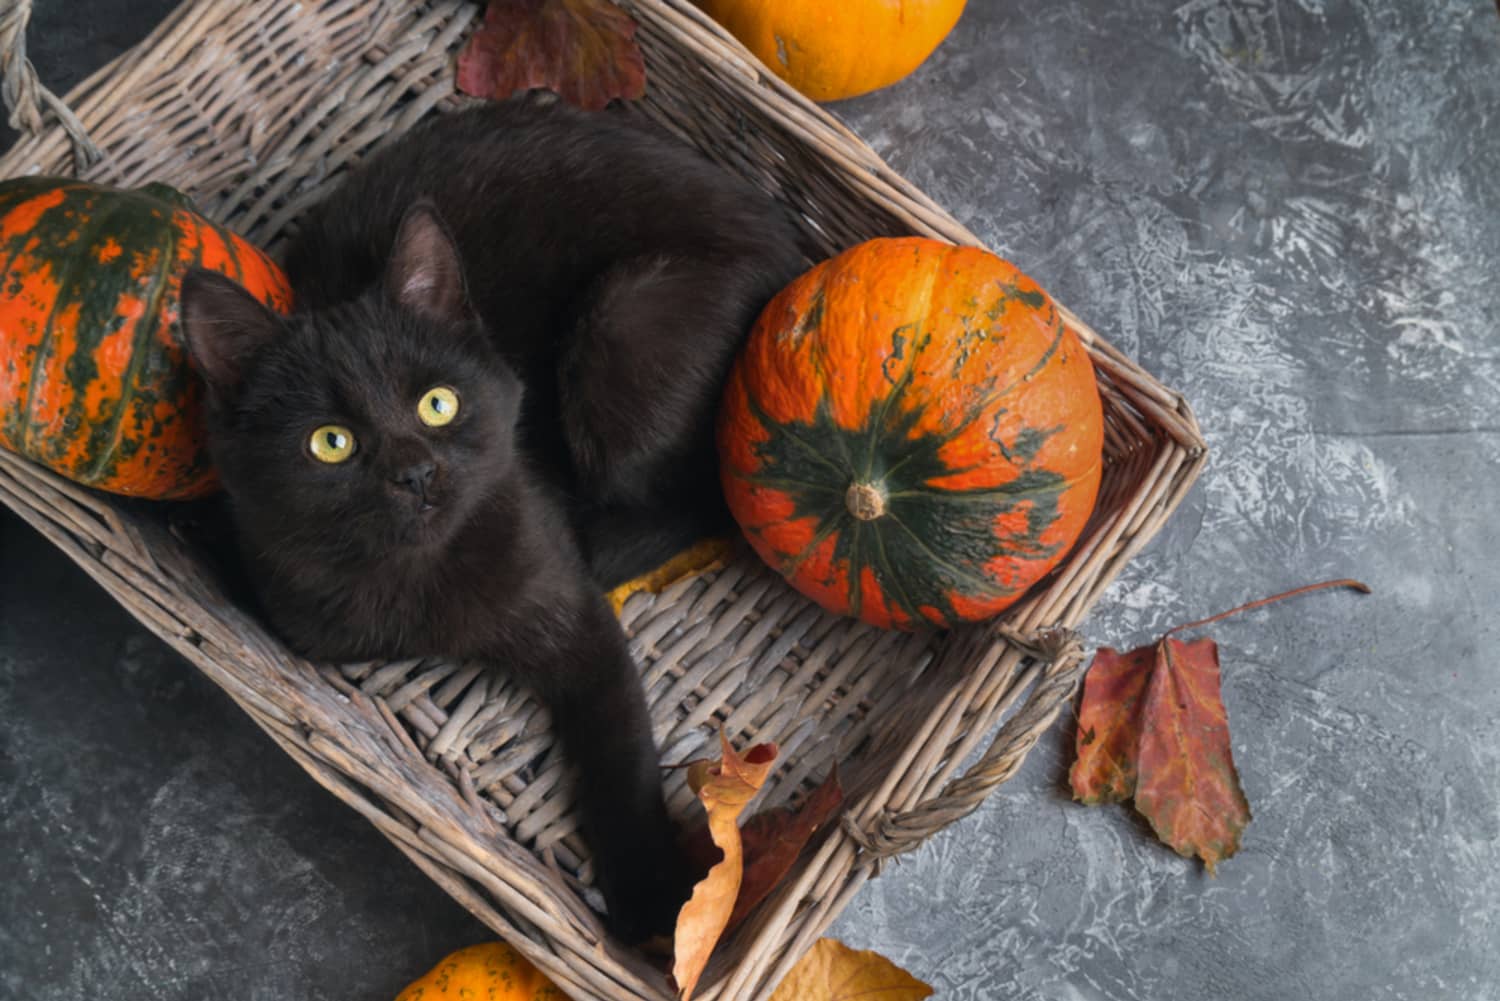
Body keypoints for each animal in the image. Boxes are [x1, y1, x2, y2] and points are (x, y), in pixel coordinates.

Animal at [177, 102, 810, 942]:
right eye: (330, 442)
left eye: (437, 403)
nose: (416, 473)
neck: (418, 585)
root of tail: (795, 259)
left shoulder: (577, 618)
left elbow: (618, 750)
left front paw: (650, 902)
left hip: (624, 319)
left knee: (709, 498)